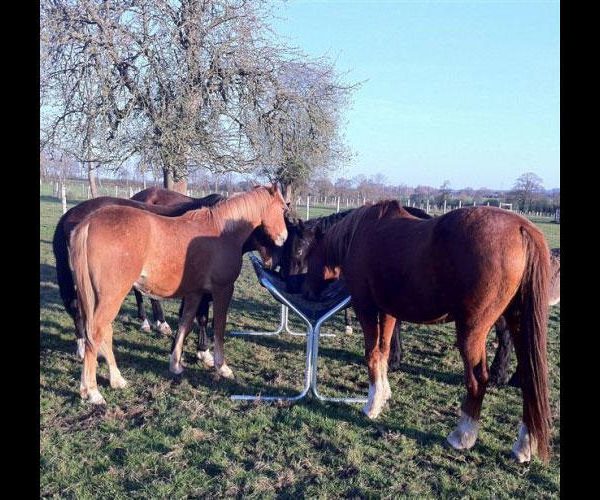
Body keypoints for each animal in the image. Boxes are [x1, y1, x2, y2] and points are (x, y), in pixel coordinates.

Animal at [68, 186, 288, 404]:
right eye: (283, 209)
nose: (283, 238)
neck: (222, 231)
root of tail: (88, 224)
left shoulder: (195, 293)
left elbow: (185, 324)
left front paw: (175, 365)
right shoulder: (223, 290)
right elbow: (219, 327)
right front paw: (222, 367)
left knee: (104, 332)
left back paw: (117, 379)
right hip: (111, 296)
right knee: (96, 332)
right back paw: (92, 391)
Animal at [304, 200, 552, 464]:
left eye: (304, 253)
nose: (308, 292)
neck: (360, 232)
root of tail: (522, 228)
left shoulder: (366, 308)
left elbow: (372, 354)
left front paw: (371, 406)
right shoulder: (388, 312)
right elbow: (383, 352)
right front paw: (383, 395)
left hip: (472, 330)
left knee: (478, 379)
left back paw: (463, 436)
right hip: (519, 325)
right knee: (529, 379)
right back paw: (523, 446)